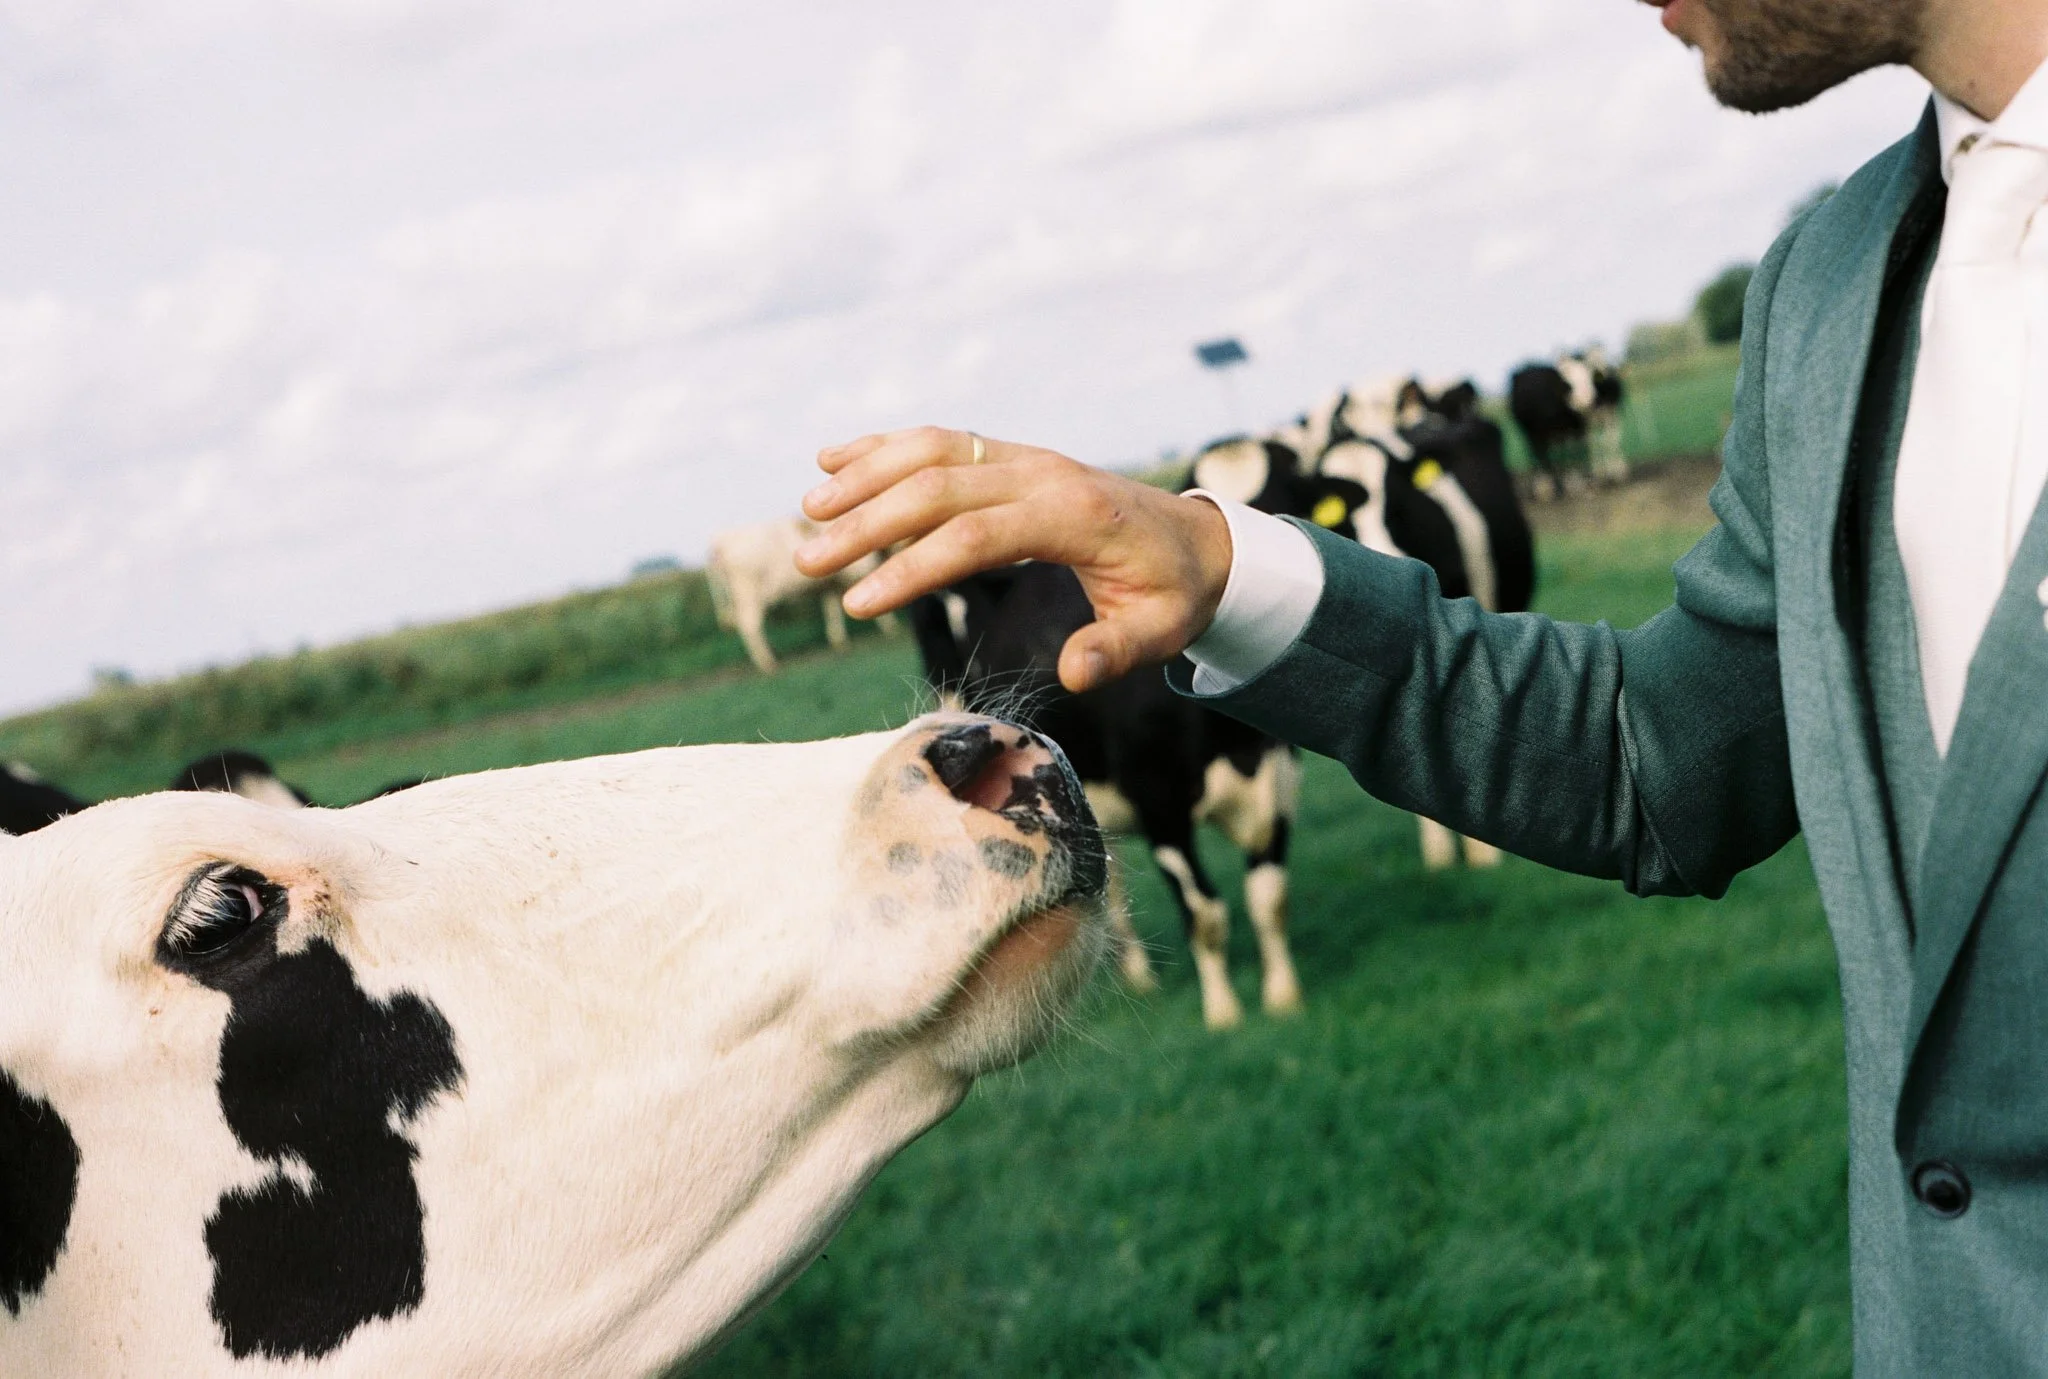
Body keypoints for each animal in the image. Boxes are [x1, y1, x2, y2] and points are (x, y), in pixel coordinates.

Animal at [707, 517, 901, 674]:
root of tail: (720, 541)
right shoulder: (861, 570)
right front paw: (891, 628)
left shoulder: (830, 584)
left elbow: (832, 609)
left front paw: (839, 642)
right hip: (748, 592)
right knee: (749, 624)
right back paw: (768, 663)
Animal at [912, 565, 1302, 1031]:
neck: (1233, 746)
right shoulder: (1161, 809)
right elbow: (1205, 914)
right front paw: (1224, 1012)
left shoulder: (1277, 791)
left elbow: (1271, 899)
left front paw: (1283, 998)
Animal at [1507, 347, 1627, 499]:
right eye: (1569, 377)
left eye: (1589, 373)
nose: (1584, 398)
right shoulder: (1547, 430)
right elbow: (1555, 454)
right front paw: (1567, 484)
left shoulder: (1582, 426)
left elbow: (1579, 450)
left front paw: (1581, 482)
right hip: (1528, 429)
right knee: (1538, 453)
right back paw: (1545, 485)